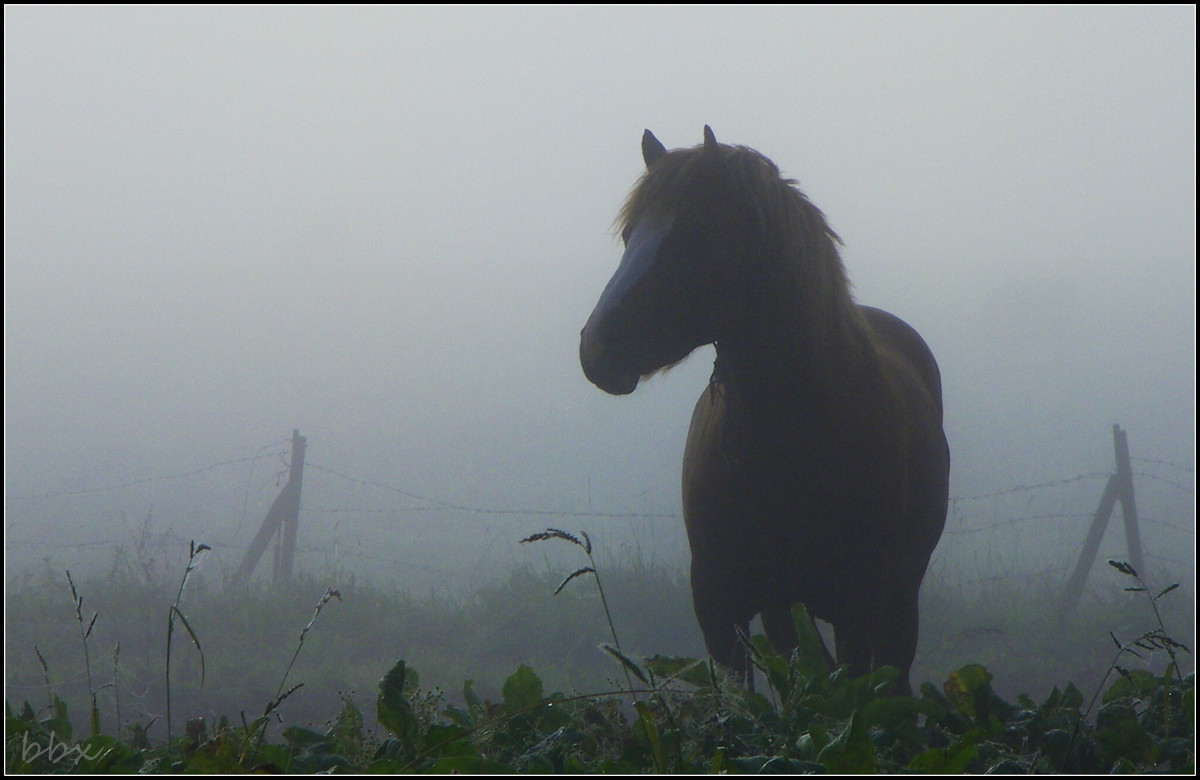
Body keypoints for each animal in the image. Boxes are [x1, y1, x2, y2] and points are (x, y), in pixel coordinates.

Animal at [578, 127, 945, 691]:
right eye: (629, 236)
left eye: (694, 235)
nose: (596, 348)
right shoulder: (719, 607)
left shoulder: (860, 606)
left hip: (897, 599)